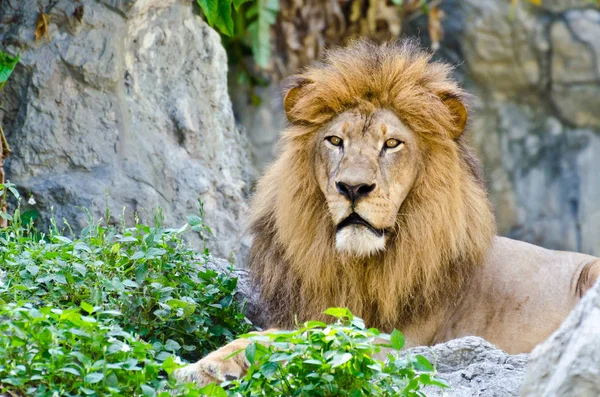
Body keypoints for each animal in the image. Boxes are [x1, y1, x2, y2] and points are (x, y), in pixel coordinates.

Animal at [173, 39, 600, 384]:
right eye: (335, 140)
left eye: (392, 144)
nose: (353, 188)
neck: (356, 266)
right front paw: (200, 366)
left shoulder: (398, 342)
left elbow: (300, 338)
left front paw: (207, 366)